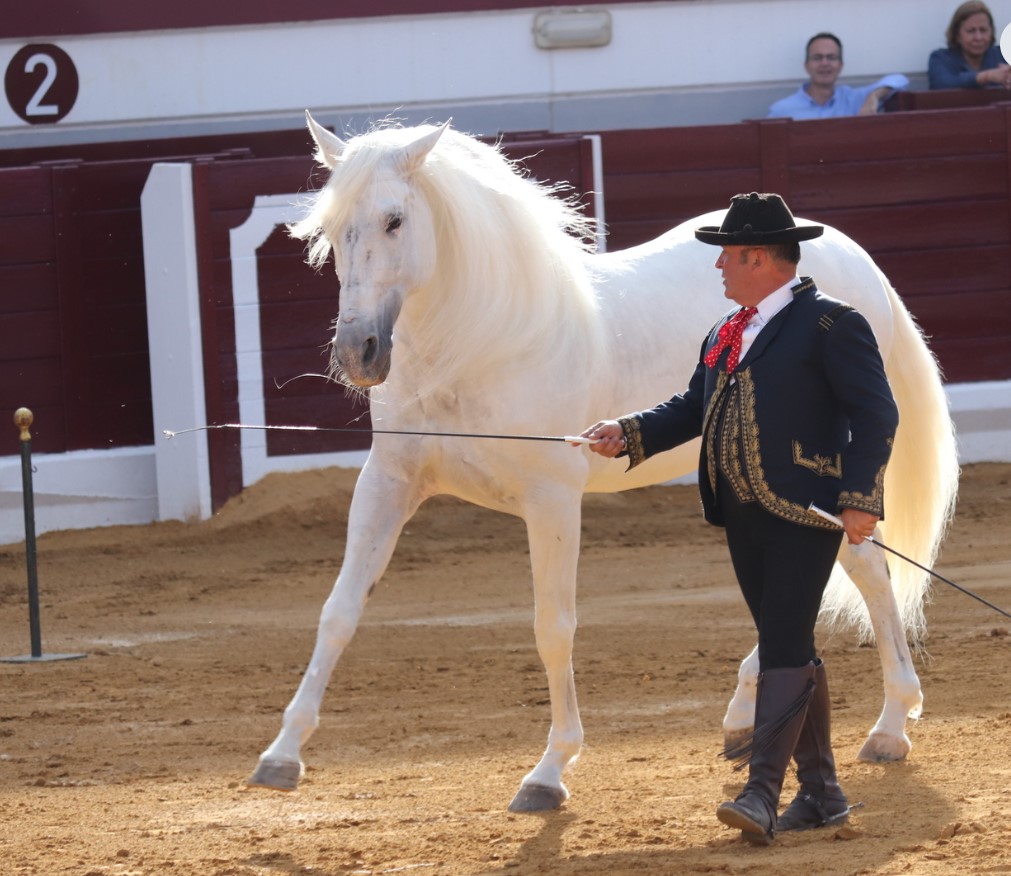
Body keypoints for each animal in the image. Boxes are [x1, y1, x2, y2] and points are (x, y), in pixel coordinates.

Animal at [247, 113, 959, 813]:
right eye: (333, 228)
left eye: (395, 219)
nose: (358, 353)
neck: (481, 342)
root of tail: (854, 263)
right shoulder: (388, 485)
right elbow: (339, 613)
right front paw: (281, 755)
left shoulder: (552, 501)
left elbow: (553, 628)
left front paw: (548, 772)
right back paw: (743, 717)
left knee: (863, 571)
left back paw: (890, 728)